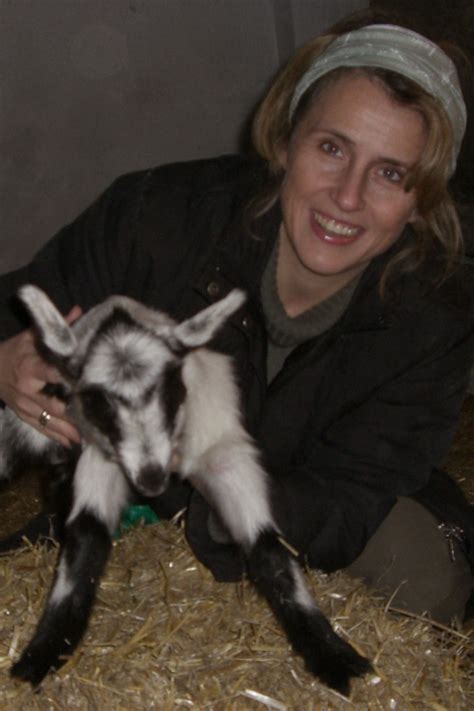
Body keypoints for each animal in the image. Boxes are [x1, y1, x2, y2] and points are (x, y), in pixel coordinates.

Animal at [0, 286, 370, 696]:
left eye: (169, 388)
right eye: (100, 401)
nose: (150, 479)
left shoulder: (226, 456)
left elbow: (270, 551)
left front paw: (331, 654)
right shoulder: (102, 456)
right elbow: (86, 541)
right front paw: (43, 652)